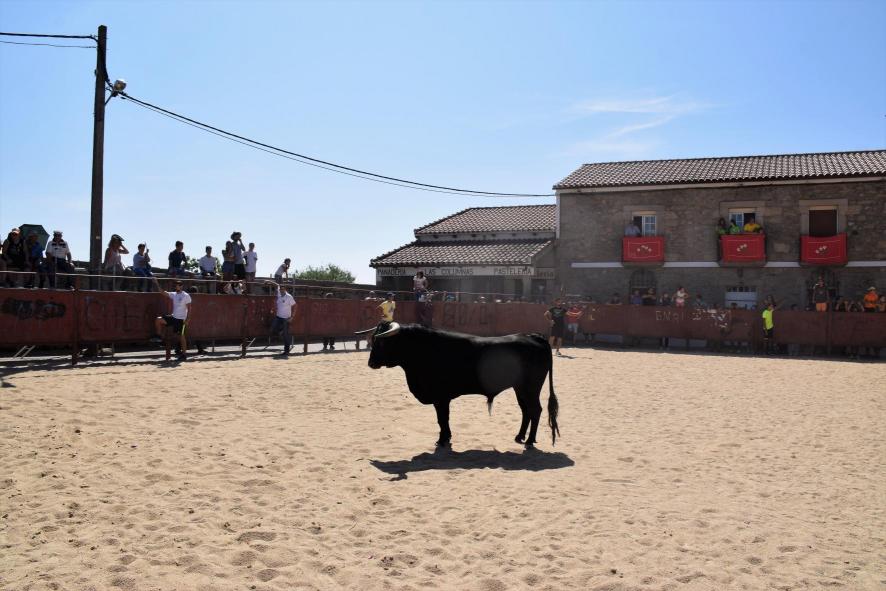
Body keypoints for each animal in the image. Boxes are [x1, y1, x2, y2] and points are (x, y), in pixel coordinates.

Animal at [364, 322, 559, 448]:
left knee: (535, 410)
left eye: (382, 342)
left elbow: (442, 418)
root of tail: (533, 336)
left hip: (530, 388)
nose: (370, 363)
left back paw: (529, 441)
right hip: (519, 388)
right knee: (526, 411)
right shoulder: (442, 398)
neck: (422, 349)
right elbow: (443, 419)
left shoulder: (440, 398)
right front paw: (446, 437)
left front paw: (442, 440)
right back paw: (519, 437)